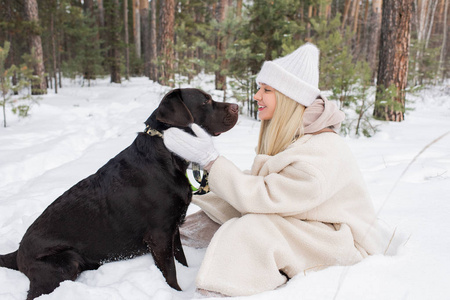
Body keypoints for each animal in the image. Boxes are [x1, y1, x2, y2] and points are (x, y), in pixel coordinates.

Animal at [0, 88, 239, 298]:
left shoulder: (173, 229)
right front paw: (176, 293)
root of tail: (18, 252)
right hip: (65, 261)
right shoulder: (159, 234)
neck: (167, 154)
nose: (237, 106)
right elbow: (170, 273)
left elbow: (181, 259)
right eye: (206, 101)